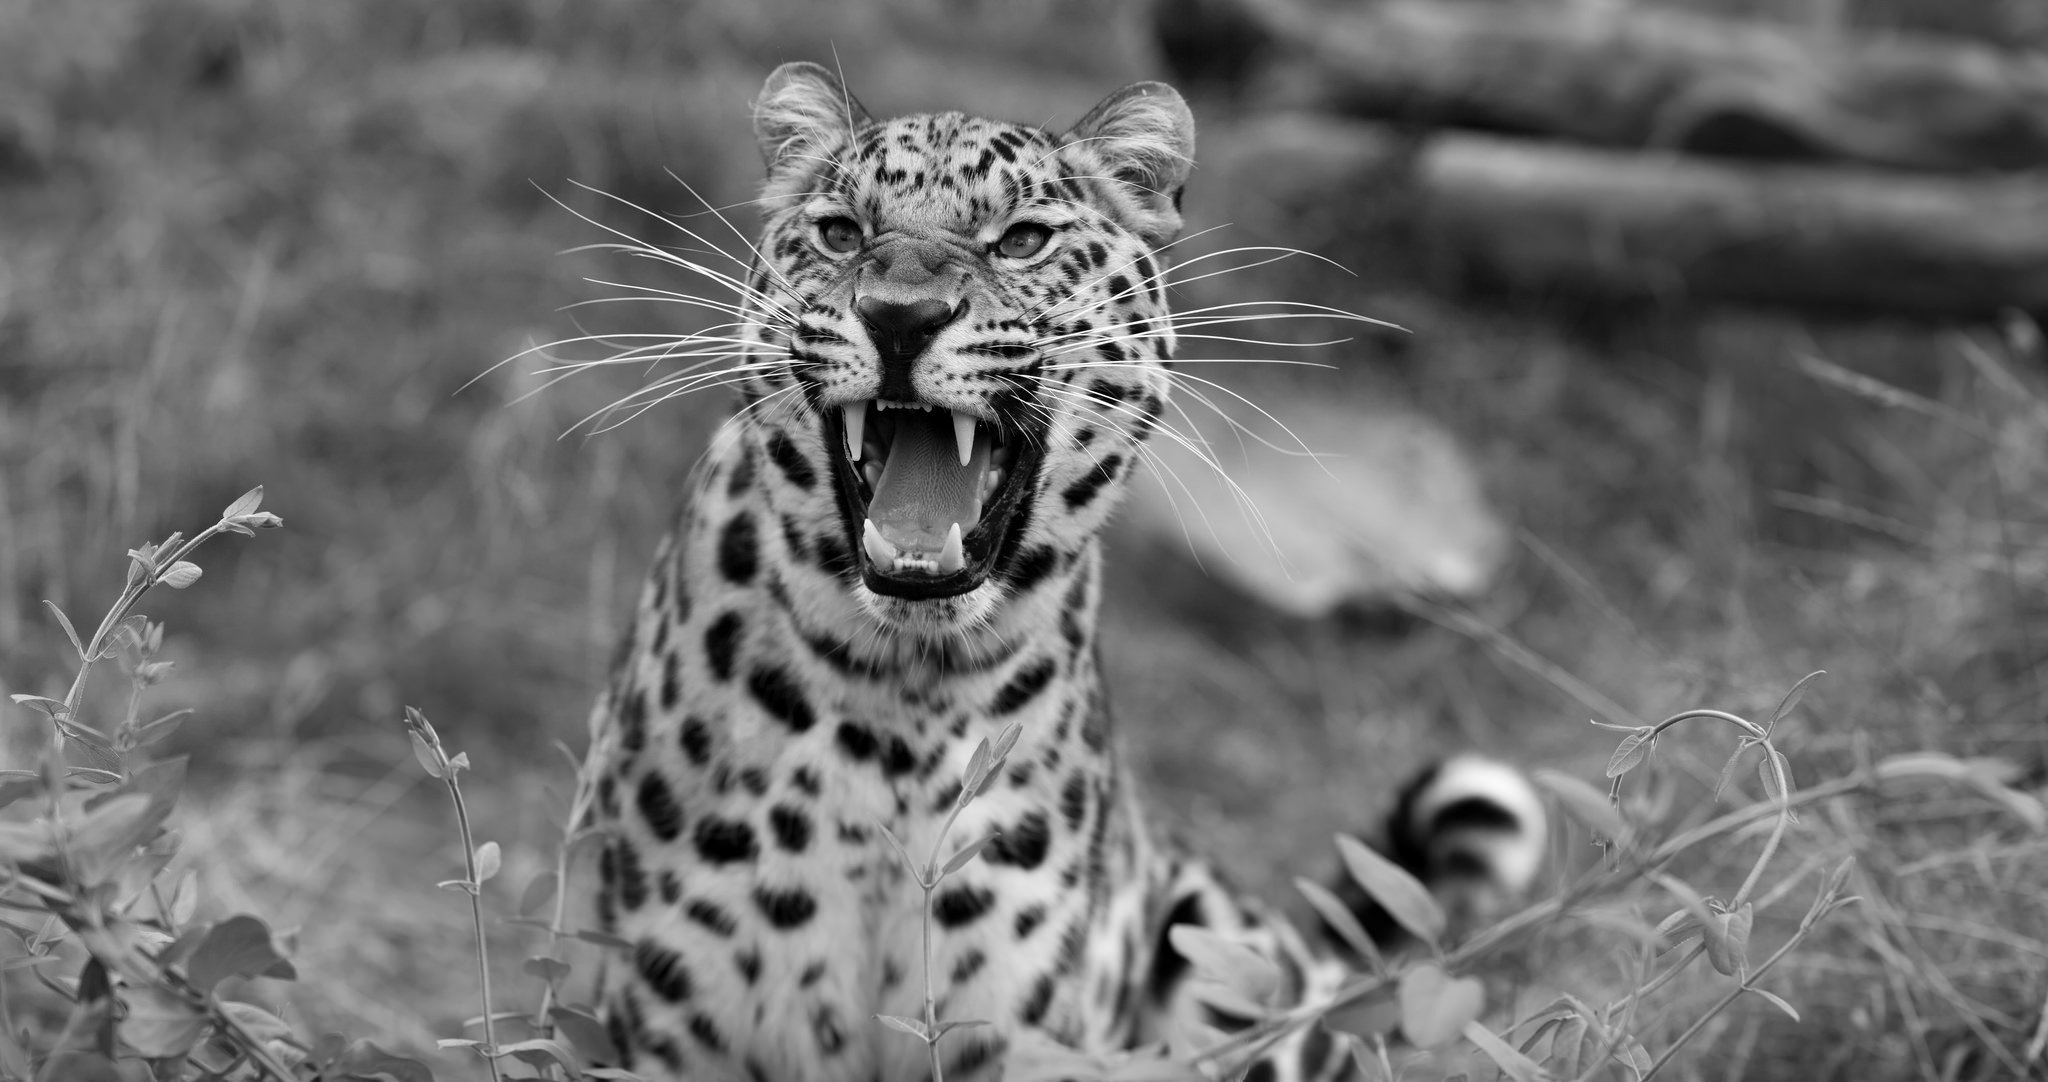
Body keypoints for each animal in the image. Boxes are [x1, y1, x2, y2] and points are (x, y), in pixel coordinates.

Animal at [576, 63, 1548, 1081]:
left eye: (1021, 241)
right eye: (842, 233)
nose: (900, 318)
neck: (898, 699)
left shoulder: (1016, 1027)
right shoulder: (677, 1029)